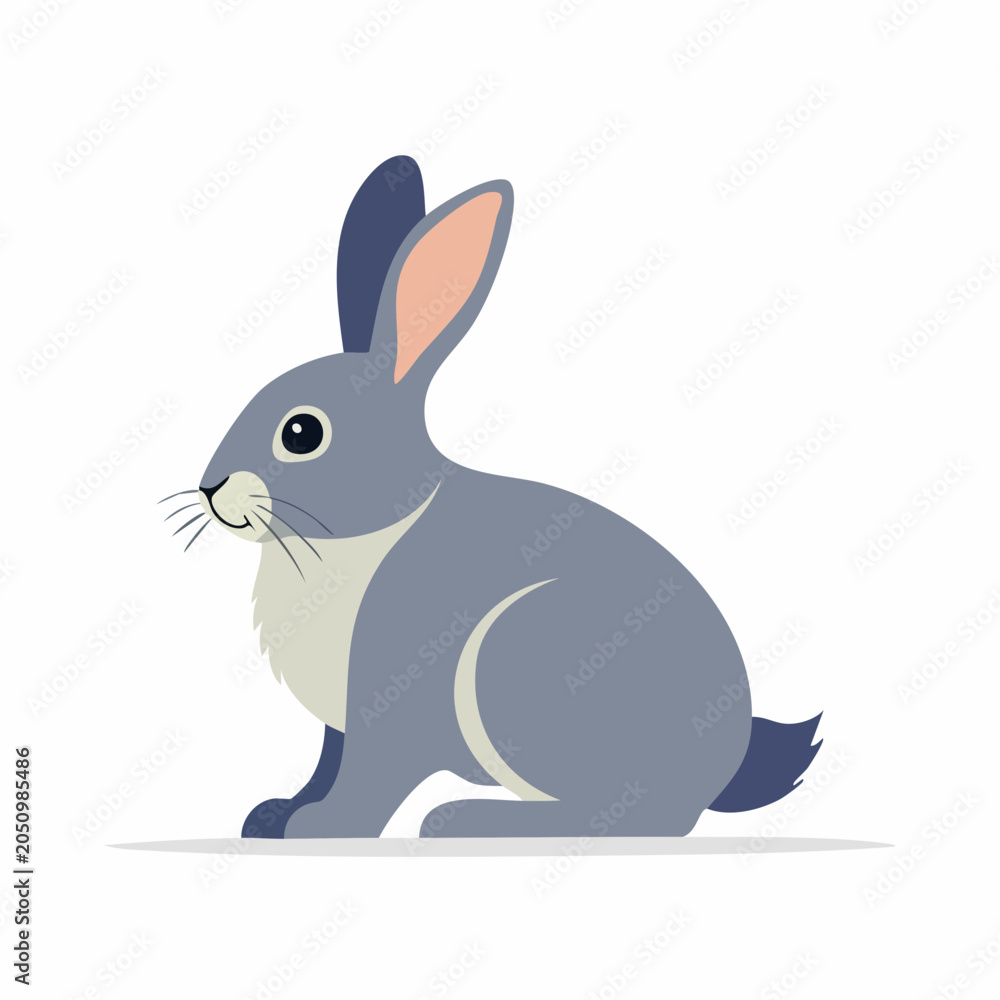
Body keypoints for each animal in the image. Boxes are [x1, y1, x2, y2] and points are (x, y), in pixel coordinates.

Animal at [165, 155, 821, 839]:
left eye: (301, 433)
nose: (210, 488)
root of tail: (722, 765)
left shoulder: (392, 706)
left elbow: (371, 779)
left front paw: (319, 829)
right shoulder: (338, 729)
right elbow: (327, 766)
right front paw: (273, 817)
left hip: (516, 659)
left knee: (639, 814)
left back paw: (459, 820)